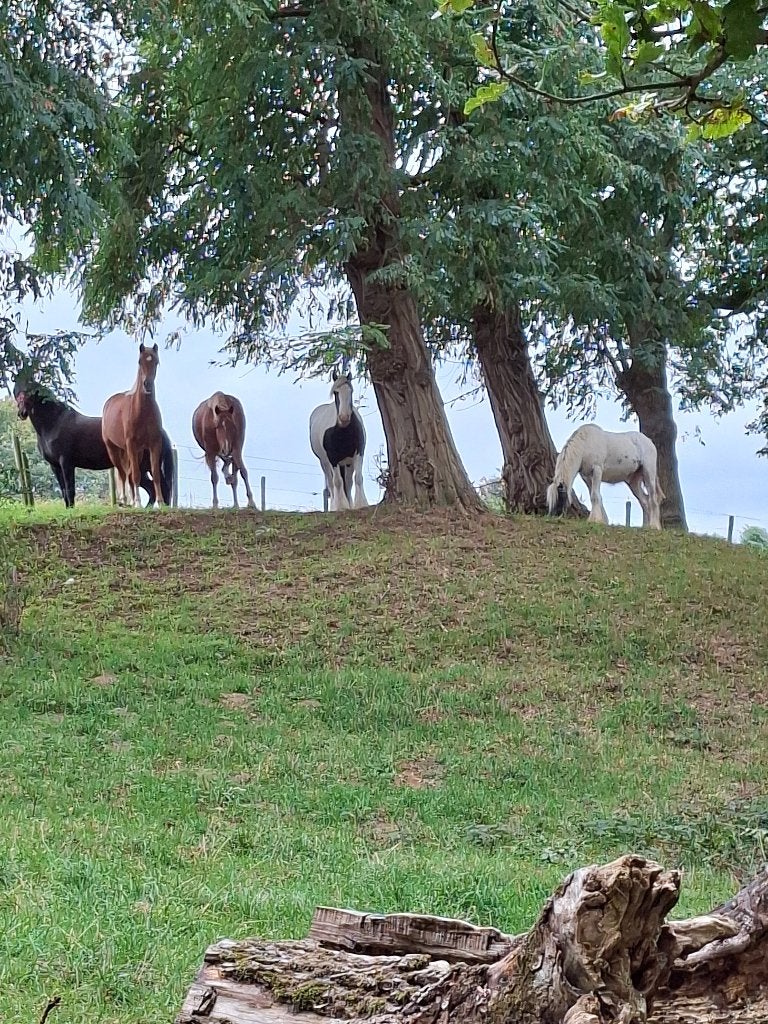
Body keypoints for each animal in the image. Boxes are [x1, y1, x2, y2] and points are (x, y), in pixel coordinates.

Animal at [13, 379, 173, 507]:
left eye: (29, 393)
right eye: (18, 393)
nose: (22, 413)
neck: (54, 423)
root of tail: (159, 431)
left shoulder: (66, 463)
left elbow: (70, 489)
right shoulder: (55, 466)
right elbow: (64, 491)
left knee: (160, 488)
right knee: (154, 489)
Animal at [101, 343, 168, 508]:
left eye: (156, 362)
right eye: (139, 361)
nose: (147, 384)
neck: (142, 412)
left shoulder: (154, 444)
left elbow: (155, 473)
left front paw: (161, 502)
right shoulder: (131, 444)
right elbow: (136, 475)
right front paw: (137, 502)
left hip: (137, 452)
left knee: (129, 473)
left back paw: (130, 500)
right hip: (114, 449)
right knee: (123, 473)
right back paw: (125, 500)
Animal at [309, 371, 368, 512]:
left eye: (351, 391)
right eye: (335, 392)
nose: (344, 418)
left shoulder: (359, 453)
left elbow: (358, 478)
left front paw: (360, 504)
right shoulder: (333, 458)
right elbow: (337, 482)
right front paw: (341, 506)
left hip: (348, 462)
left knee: (348, 483)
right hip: (325, 462)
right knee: (331, 483)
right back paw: (334, 507)